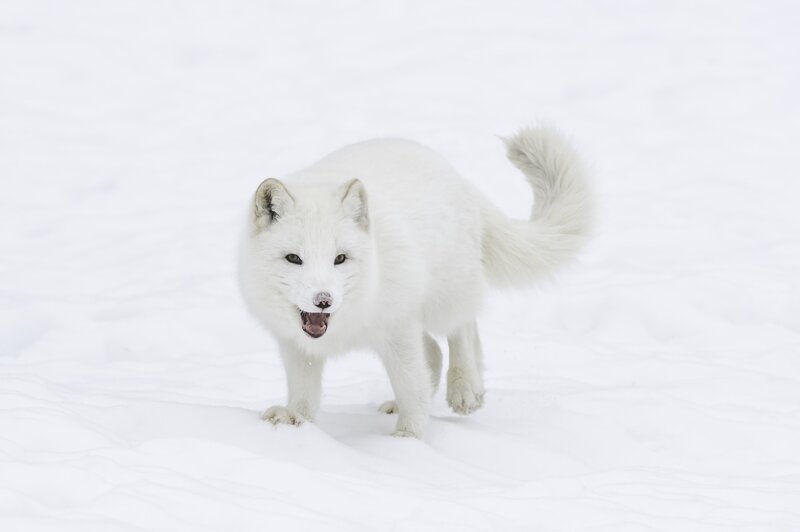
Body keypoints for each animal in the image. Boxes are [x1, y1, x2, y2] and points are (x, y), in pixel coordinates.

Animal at [238, 127, 593, 438]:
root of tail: (460, 179)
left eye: (340, 258)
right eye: (293, 258)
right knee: (434, 351)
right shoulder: (296, 344)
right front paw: (296, 420)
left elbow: (412, 386)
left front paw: (408, 439)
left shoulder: (398, 329)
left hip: (444, 297)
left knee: (463, 330)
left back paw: (465, 389)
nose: (323, 300)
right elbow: (304, 391)